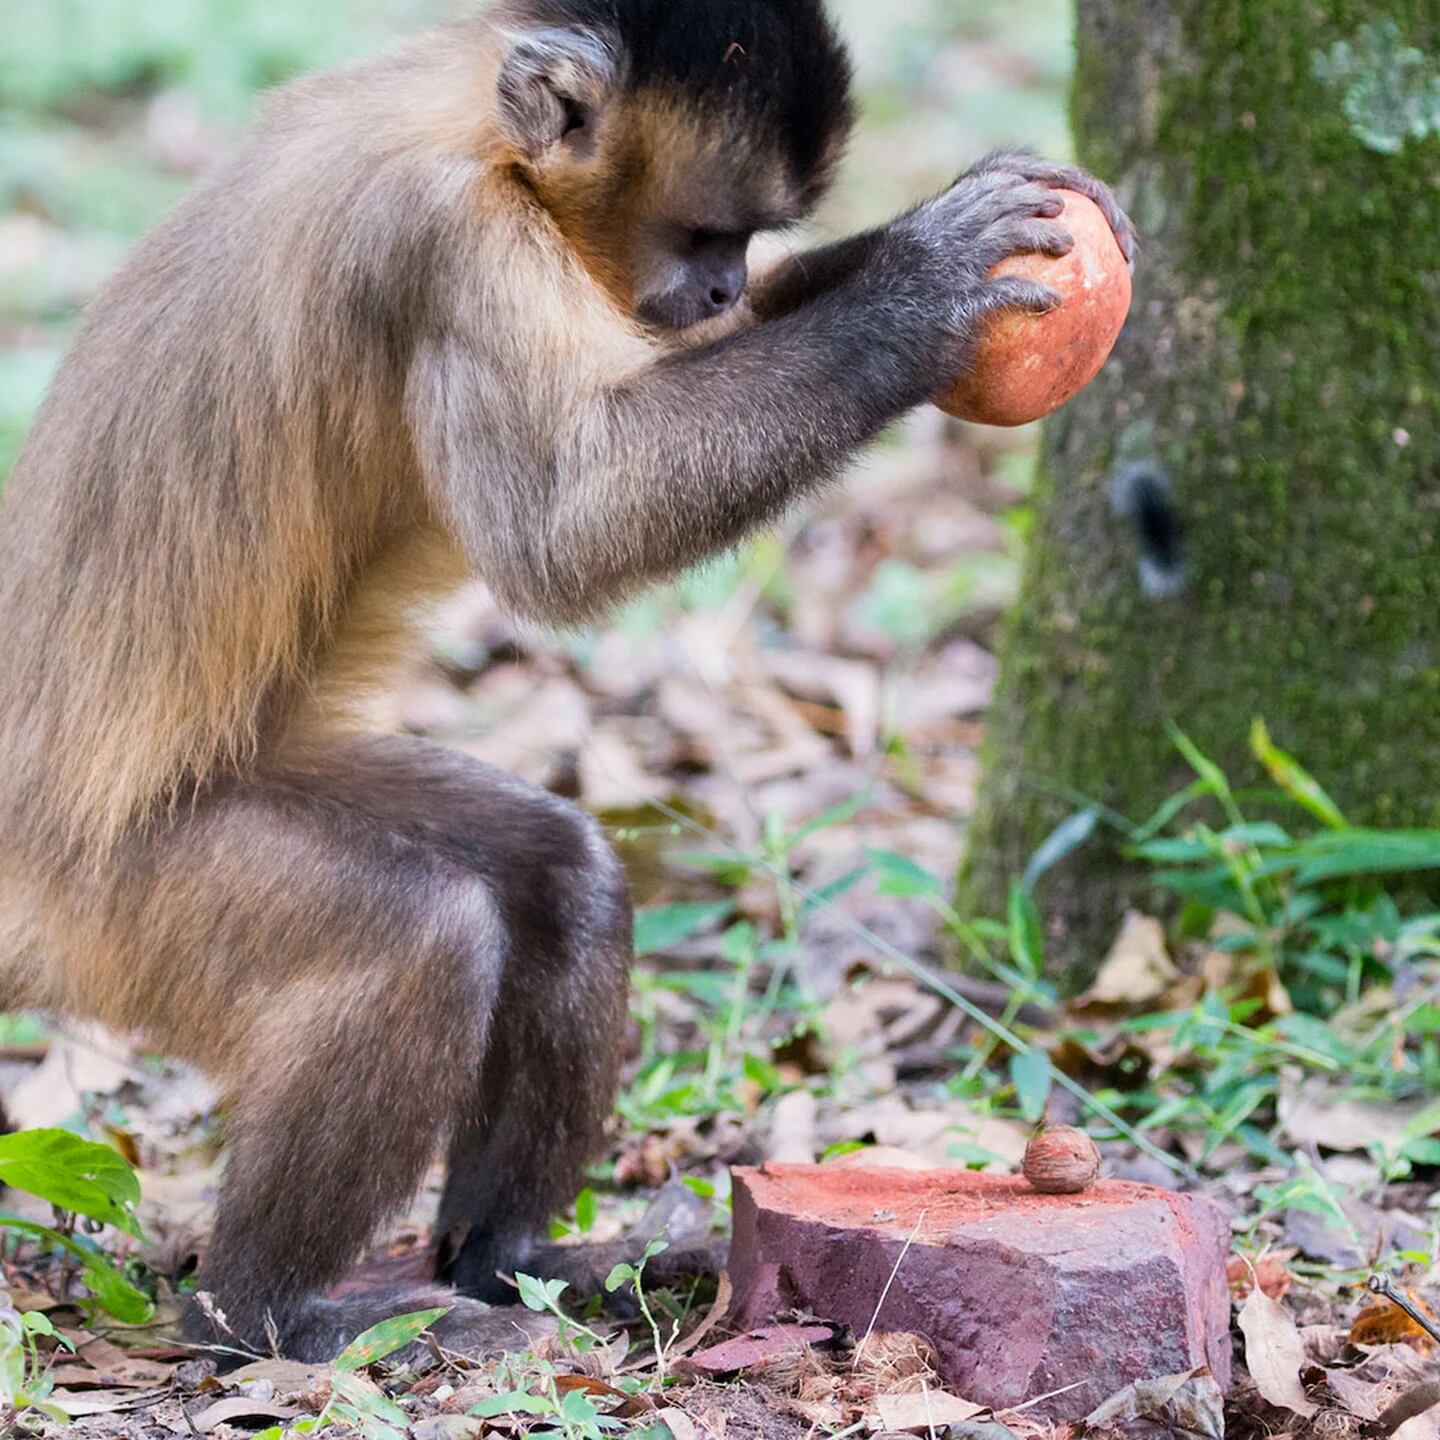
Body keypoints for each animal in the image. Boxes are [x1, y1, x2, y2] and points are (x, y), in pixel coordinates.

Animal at [0, 0, 1134, 1359]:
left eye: (748, 243)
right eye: (705, 230)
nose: (721, 282)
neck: (474, 131)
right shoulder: (449, 241)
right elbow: (566, 529)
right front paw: (923, 290)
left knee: (561, 875)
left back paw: (510, 1264)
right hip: (107, 910)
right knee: (423, 940)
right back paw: (262, 1320)